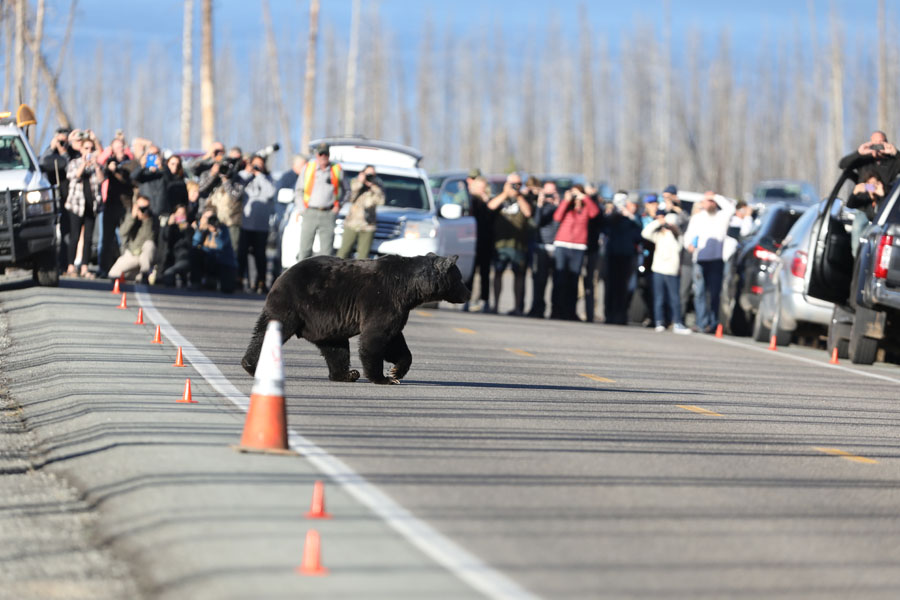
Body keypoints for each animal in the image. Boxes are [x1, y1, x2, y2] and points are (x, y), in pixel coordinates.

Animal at [241, 253, 470, 384]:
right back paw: (251, 365)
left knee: (335, 348)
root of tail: (281, 275)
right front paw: (383, 378)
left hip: (324, 323)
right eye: (459, 278)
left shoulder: (398, 307)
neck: (409, 287)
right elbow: (376, 336)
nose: (467, 293)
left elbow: (395, 339)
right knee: (269, 330)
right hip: (293, 305)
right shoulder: (382, 299)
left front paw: (396, 371)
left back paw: (346, 374)